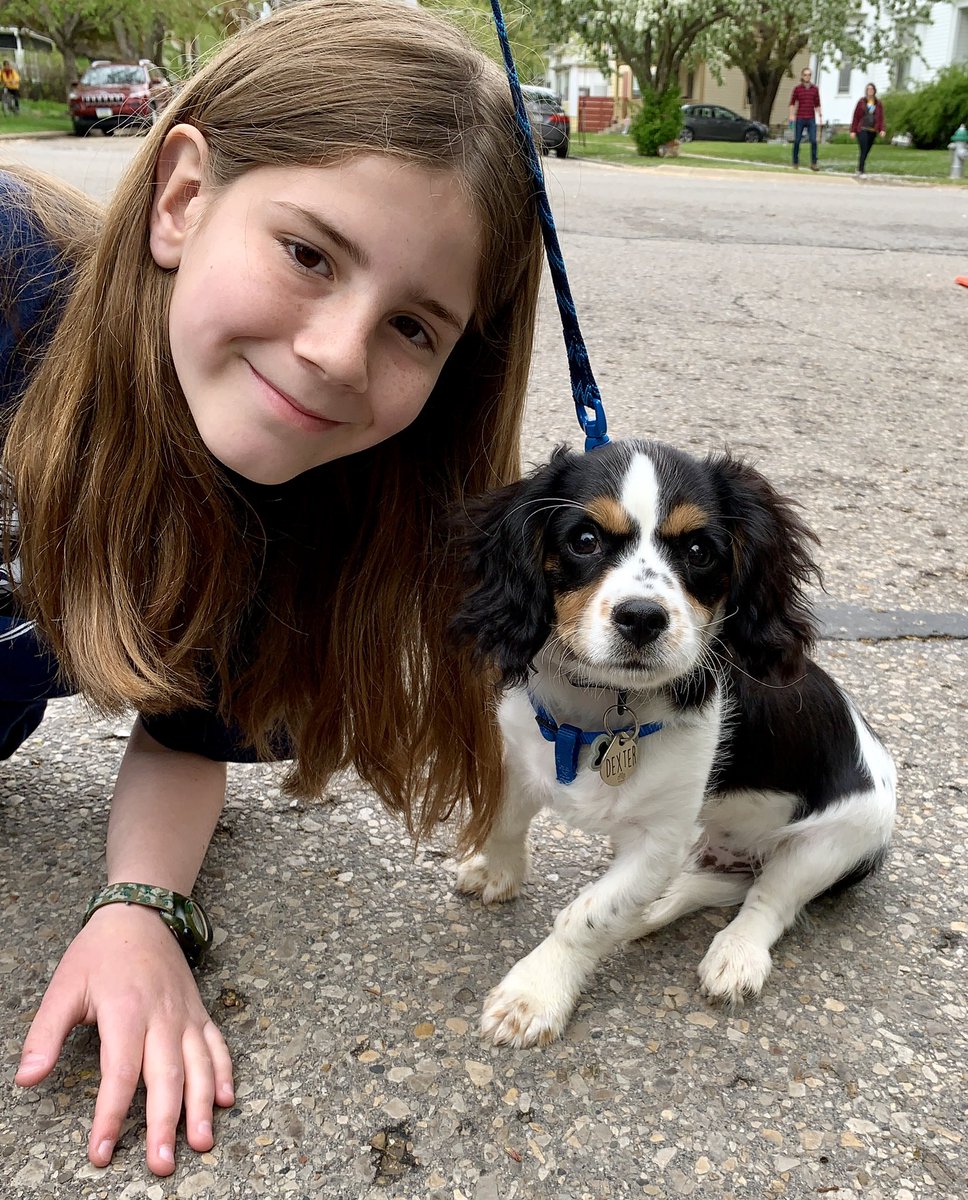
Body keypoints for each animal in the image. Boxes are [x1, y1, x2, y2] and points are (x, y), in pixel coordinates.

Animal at [451, 444, 897, 1051]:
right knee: (718, 883)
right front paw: (498, 873)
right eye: (584, 540)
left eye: (699, 550)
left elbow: (587, 914)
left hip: (833, 842)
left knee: (768, 900)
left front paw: (535, 993)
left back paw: (736, 953)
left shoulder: (658, 838)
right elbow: (503, 822)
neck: (601, 707)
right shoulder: (521, 761)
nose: (642, 617)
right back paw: (656, 908)